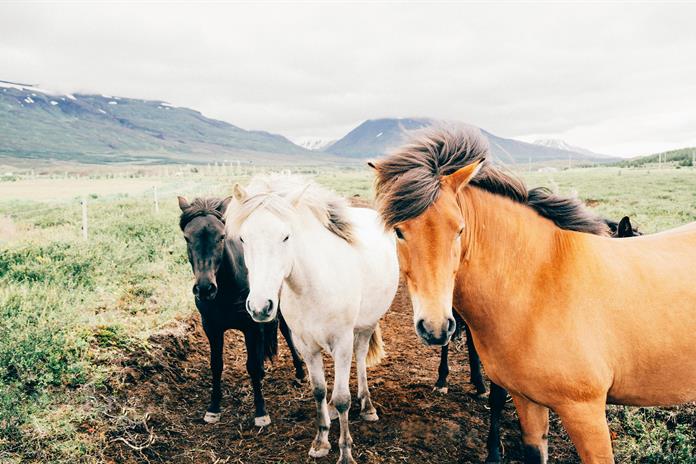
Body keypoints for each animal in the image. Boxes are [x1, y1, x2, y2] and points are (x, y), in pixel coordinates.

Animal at [178, 196, 306, 427]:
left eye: (221, 236)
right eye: (187, 238)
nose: (205, 288)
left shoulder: (250, 326)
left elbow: (253, 366)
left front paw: (261, 412)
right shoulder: (211, 328)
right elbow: (216, 365)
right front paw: (213, 408)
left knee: (285, 331)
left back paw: (300, 371)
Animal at [226, 175, 399, 464]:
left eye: (286, 236)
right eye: (243, 238)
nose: (260, 307)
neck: (312, 286)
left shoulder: (342, 342)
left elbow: (342, 398)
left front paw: (345, 453)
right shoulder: (305, 346)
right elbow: (318, 391)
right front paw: (320, 441)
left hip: (366, 326)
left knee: (361, 357)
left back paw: (367, 406)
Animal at [370, 126, 696, 463]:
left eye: (459, 229)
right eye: (398, 231)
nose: (434, 326)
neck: (540, 287)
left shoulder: (585, 411)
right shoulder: (528, 401)